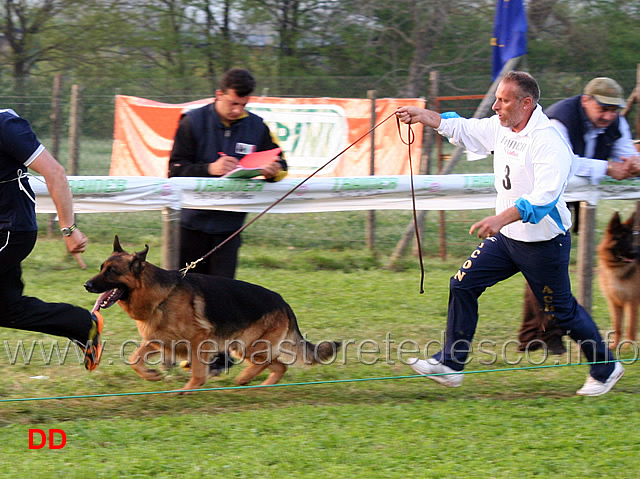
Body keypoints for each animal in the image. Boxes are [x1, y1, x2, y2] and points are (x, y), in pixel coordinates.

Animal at [89, 236, 344, 394]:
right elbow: (134, 359)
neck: (162, 295)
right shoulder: (159, 340)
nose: (86, 285)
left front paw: (187, 390)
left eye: (112, 271)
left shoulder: (198, 341)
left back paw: (245, 379)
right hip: (244, 347)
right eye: (101, 268)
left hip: (247, 346)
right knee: (280, 366)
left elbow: (198, 373)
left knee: (270, 364)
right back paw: (258, 385)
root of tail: (283, 302)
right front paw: (151, 375)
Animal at [596, 210, 636, 348]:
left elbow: (630, 326)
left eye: (631, 239)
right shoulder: (614, 302)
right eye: (621, 239)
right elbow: (617, 325)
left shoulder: (631, 302)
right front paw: (615, 346)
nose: (636, 254)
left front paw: (629, 347)